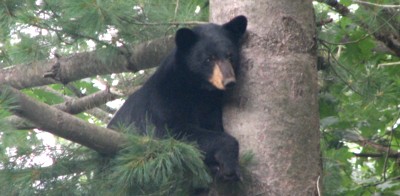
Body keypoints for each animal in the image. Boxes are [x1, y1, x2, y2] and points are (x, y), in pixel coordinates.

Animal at [108, 15, 247, 182]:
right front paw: (231, 165)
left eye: (230, 56)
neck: (197, 89)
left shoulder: (210, 106)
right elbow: (171, 132)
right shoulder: (163, 98)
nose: (229, 81)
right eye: (209, 59)